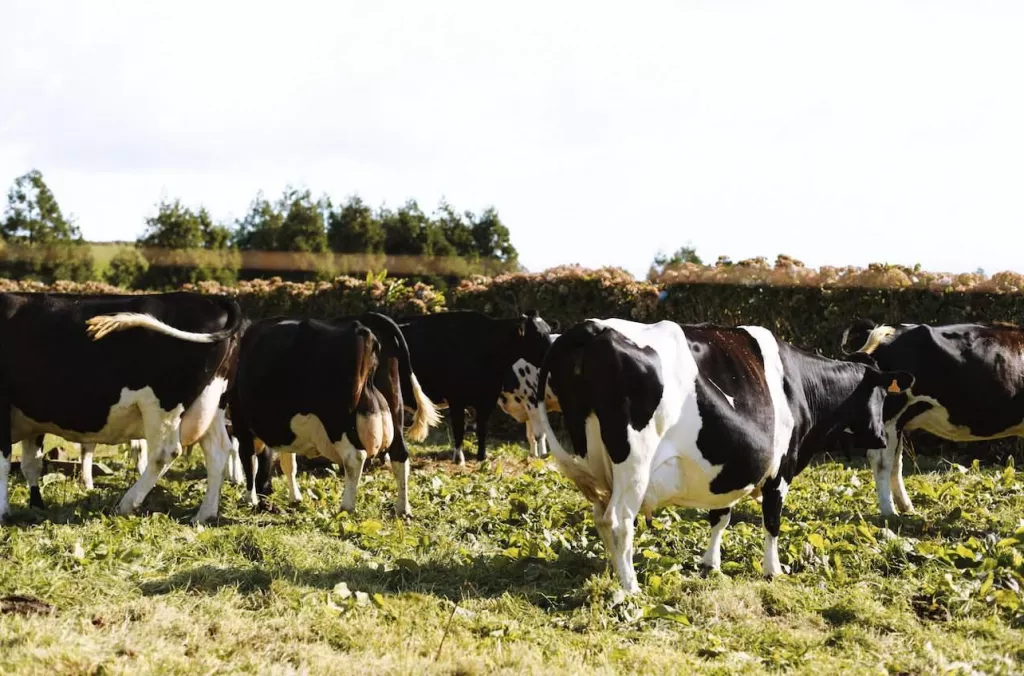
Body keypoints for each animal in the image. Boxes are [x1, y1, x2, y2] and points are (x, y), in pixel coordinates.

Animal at [0, 291, 243, 526]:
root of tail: (212, 299)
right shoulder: (32, 419)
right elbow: (31, 465)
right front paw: (36, 506)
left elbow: (4, 464)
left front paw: (3, 512)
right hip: (212, 402)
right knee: (218, 451)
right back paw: (204, 515)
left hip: (164, 405)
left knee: (164, 453)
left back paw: (126, 503)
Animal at [229, 312, 440, 517]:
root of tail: (364, 320)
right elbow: (288, 462)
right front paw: (294, 497)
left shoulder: (242, 424)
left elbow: (249, 460)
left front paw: (250, 499)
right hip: (393, 405)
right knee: (399, 453)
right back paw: (403, 509)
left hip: (338, 420)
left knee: (355, 457)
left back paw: (346, 507)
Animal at [396, 310, 555, 464]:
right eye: (537, 334)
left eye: (548, 331)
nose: (552, 354)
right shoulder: (456, 399)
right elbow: (459, 429)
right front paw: (459, 459)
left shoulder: (487, 399)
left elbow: (482, 429)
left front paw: (482, 457)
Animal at [535, 318, 913, 594]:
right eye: (882, 394)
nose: (881, 437)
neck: (800, 385)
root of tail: (591, 328)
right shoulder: (780, 470)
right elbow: (772, 522)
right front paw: (773, 570)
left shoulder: (727, 468)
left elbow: (720, 516)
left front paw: (710, 563)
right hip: (633, 463)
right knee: (617, 520)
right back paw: (631, 588)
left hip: (595, 461)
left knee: (601, 518)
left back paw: (616, 574)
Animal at [840, 318, 1024, 518]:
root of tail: (889, 330)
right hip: (890, 415)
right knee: (881, 460)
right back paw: (889, 512)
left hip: (898, 421)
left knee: (895, 462)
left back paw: (906, 507)